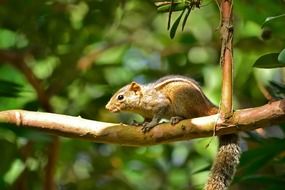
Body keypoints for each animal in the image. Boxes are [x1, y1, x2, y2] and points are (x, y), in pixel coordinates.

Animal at [105, 75, 239, 189]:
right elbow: (146, 119)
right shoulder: (146, 114)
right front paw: (139, 123)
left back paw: (178, 118)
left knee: (192, 115)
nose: (107, 107)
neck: (142, 100)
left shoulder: (160, 103)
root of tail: (207, 106)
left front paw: (151, 124)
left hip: (183, 100)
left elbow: (158, 114)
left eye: (120, 97)